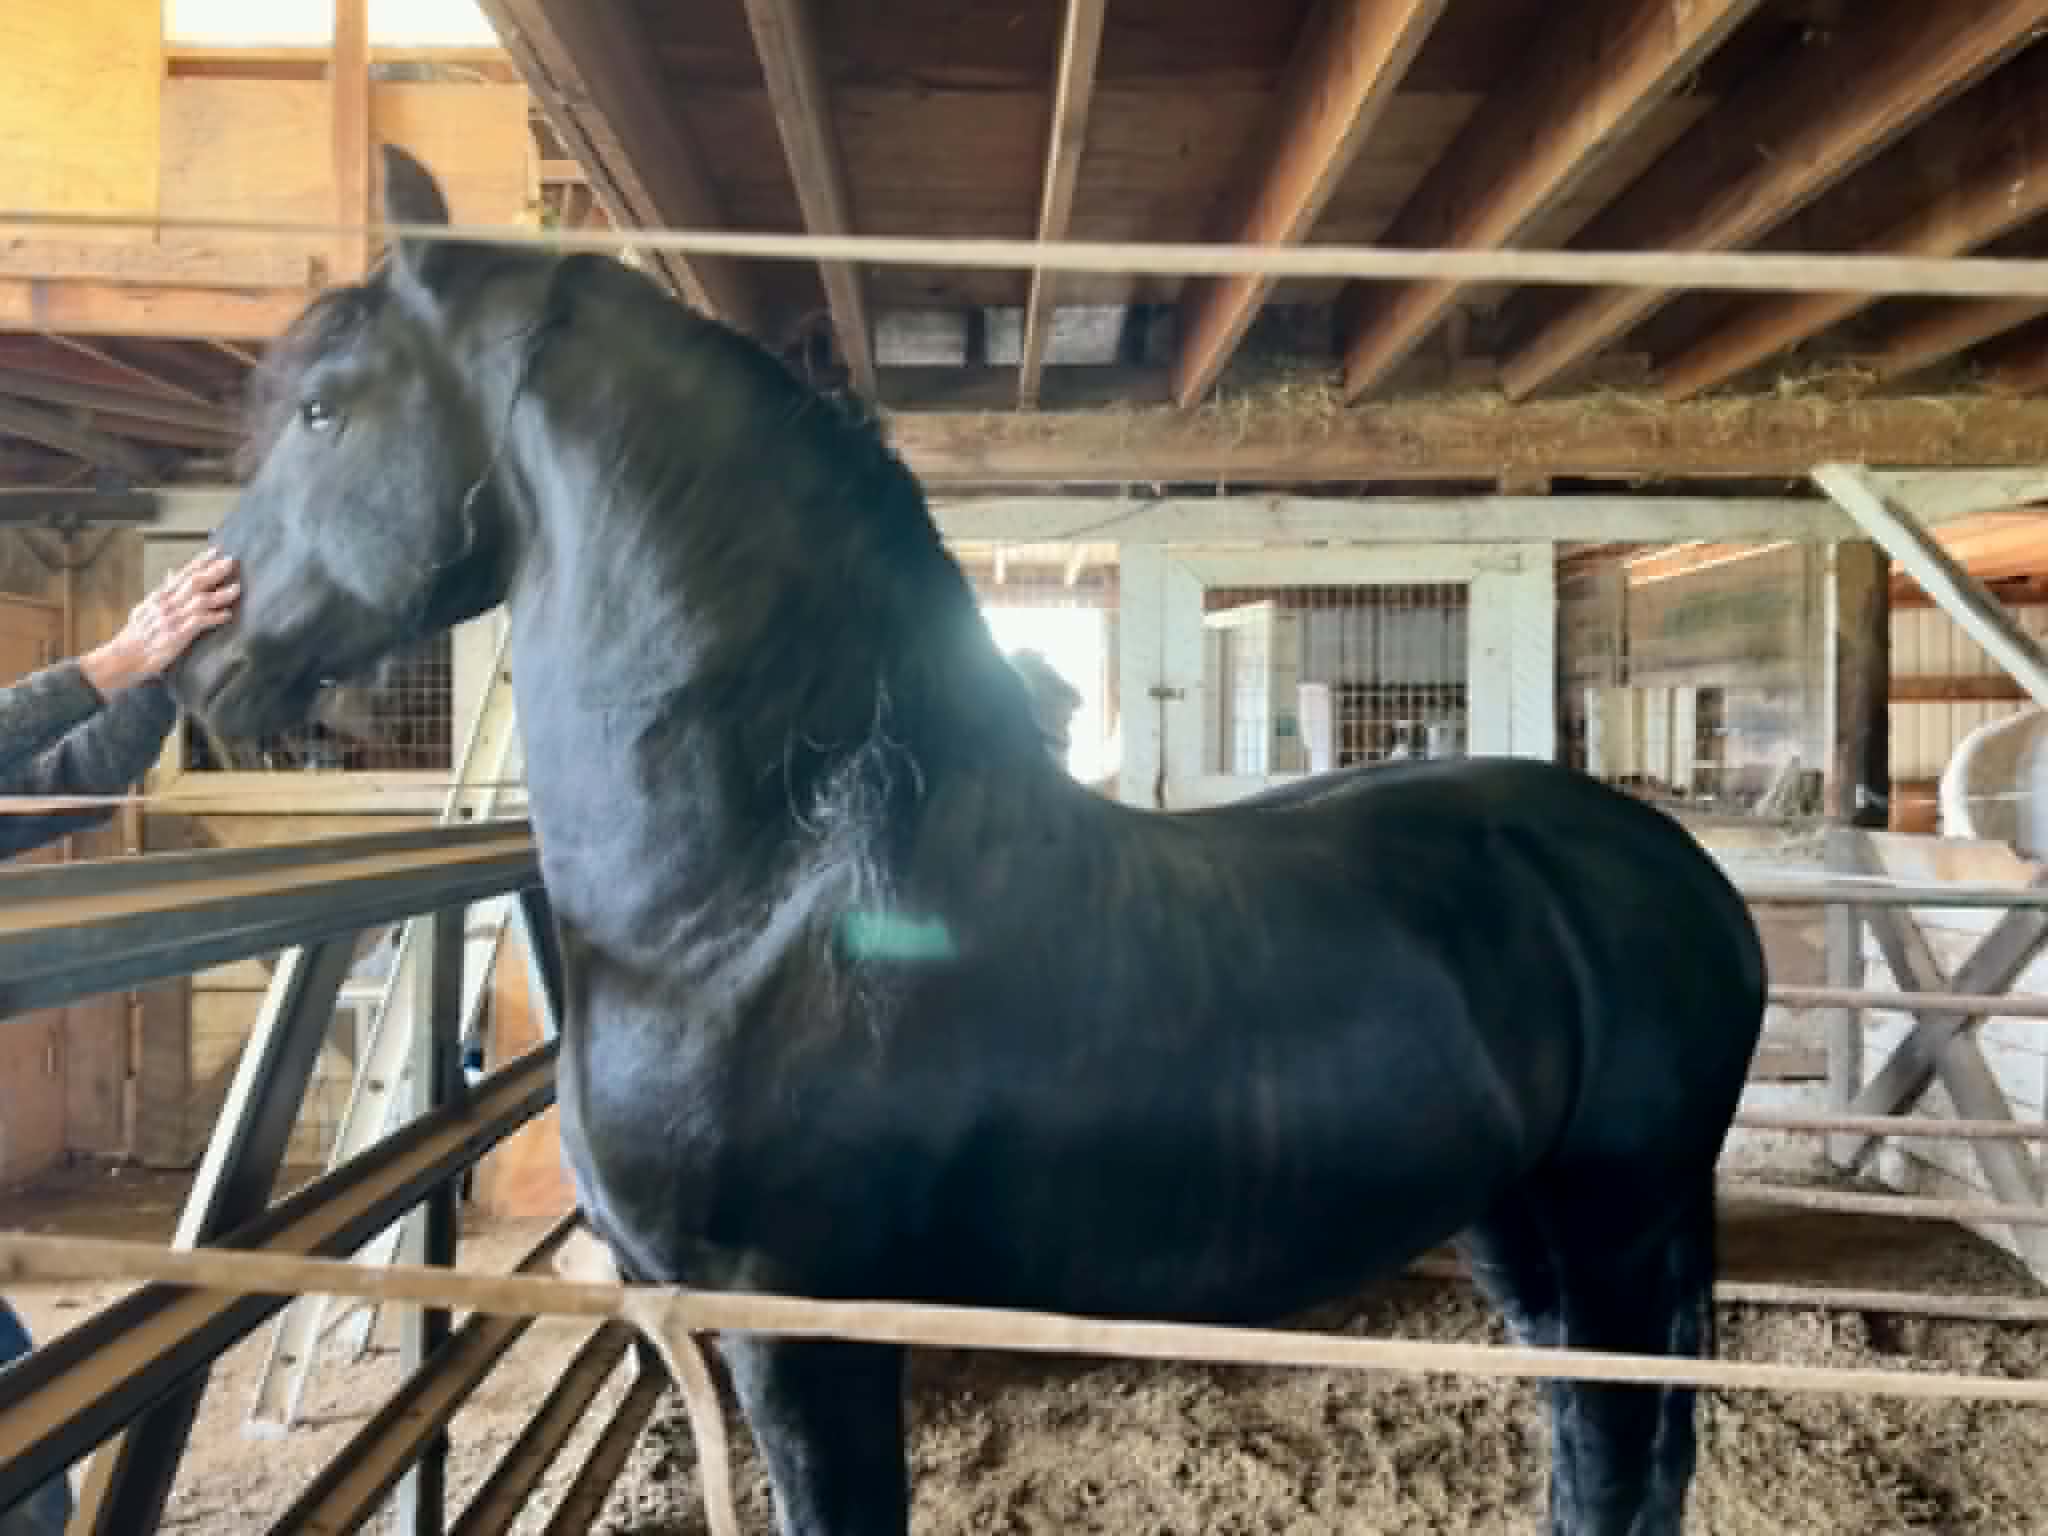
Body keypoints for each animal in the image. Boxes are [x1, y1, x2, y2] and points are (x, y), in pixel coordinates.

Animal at [171, 145, 1767, 1536]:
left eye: (321, 412)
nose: (200, 661)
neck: (757, 906)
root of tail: (1684, 880)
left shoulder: (806, 1336)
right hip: (1519, 1223)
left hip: (1617, 1222)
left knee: (1615, 1460)